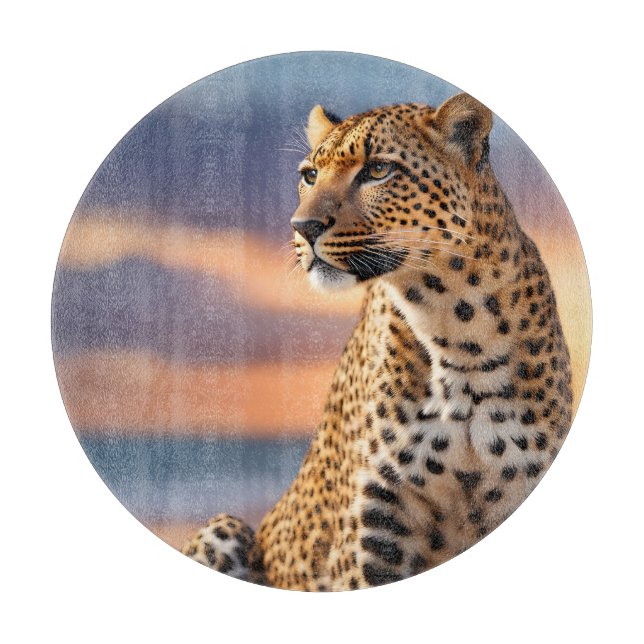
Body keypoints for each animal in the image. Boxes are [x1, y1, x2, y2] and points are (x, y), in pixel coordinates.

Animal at [182, 93, 574, 591]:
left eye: (378, 170)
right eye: (310, 175)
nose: (303, 226)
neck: (461, 333)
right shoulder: (372, 536)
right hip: (225, 526)